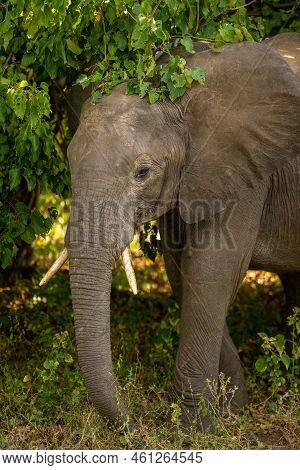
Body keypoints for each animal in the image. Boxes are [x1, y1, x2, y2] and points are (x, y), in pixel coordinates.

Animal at [40, 31, 300, 432]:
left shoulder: (246, 170)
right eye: (69, 162)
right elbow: (181, 272)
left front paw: (194, 429)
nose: (134, 425)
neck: (180, 94)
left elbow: (211, 271)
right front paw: (230, 411)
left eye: (143, 173)